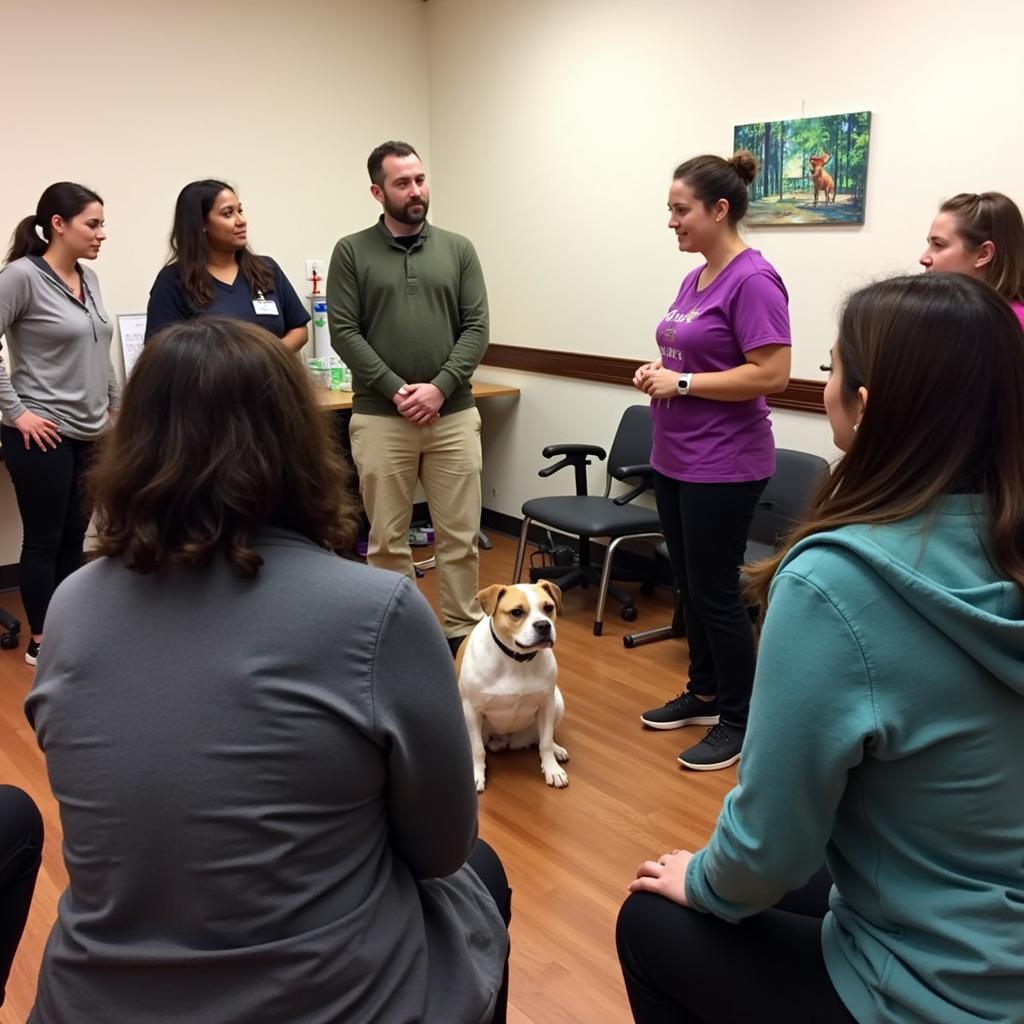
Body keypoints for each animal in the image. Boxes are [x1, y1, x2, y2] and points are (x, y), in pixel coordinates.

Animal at [456, 585, 569, 790]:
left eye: (548, 608)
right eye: (516, 612)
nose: (543, 625)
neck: (516, 660)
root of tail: (507, 740)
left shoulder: (546, 705)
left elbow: (546, 742)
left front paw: (552, 769)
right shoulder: (471, 710)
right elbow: (477, 749)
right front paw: (476, 774)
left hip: (557, 702)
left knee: (541, 738)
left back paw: (556, 750)